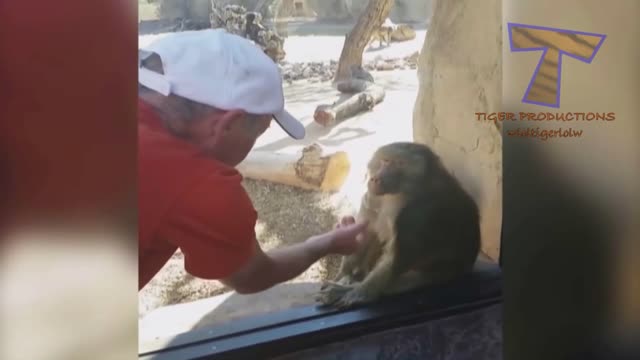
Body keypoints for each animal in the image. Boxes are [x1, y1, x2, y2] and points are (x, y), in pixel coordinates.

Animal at [316, 142, 480, 308]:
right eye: (386, 161)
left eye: (400, 164)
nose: (376, 178)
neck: (398, 194)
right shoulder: (373, 197)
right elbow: (367, 233)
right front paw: (344, 274)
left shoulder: (418, 215)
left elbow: (396, 259)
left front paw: (357, 292)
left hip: (444, 272)